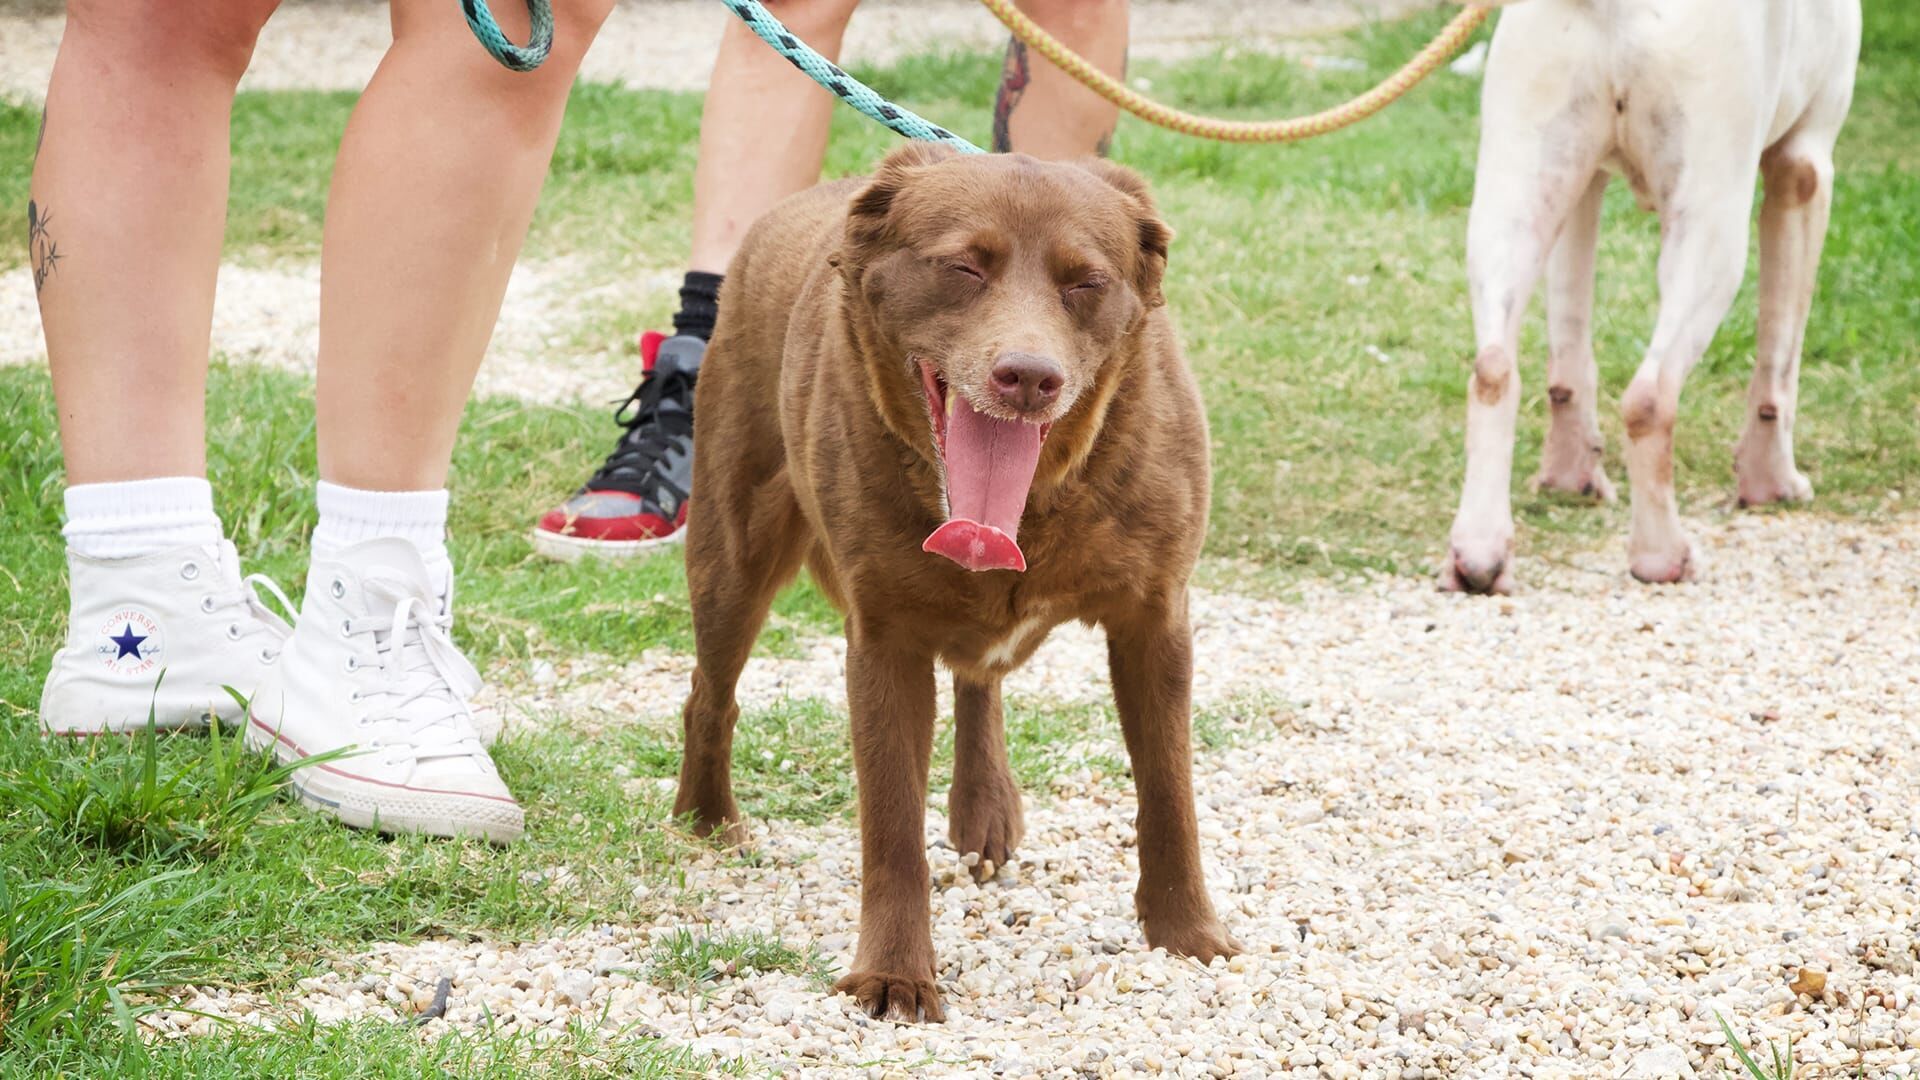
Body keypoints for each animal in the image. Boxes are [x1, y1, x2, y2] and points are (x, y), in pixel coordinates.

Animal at [675, 141, 1236, 1014]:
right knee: (712, 689)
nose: (1028, 376)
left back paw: (984, 809)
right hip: (733, 547)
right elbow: (891, 825)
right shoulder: (883, 642)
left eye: (1086, 282)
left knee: (981, 678)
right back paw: (704, 818)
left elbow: (1169, 790)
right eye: (965, 267)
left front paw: (1187, 933)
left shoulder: (1156, 620)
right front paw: (894, 974)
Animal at [1443, 0, 1866, 591]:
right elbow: (1779, 365)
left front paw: (1569, 476)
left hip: (1515, 199)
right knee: (1650, 397)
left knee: (1494, 370)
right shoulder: (1803, 167)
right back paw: (1659, 555)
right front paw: (1772, 484)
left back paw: (1478, 553)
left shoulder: (1584, 184)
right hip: (1711, 231)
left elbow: (1569, 355)